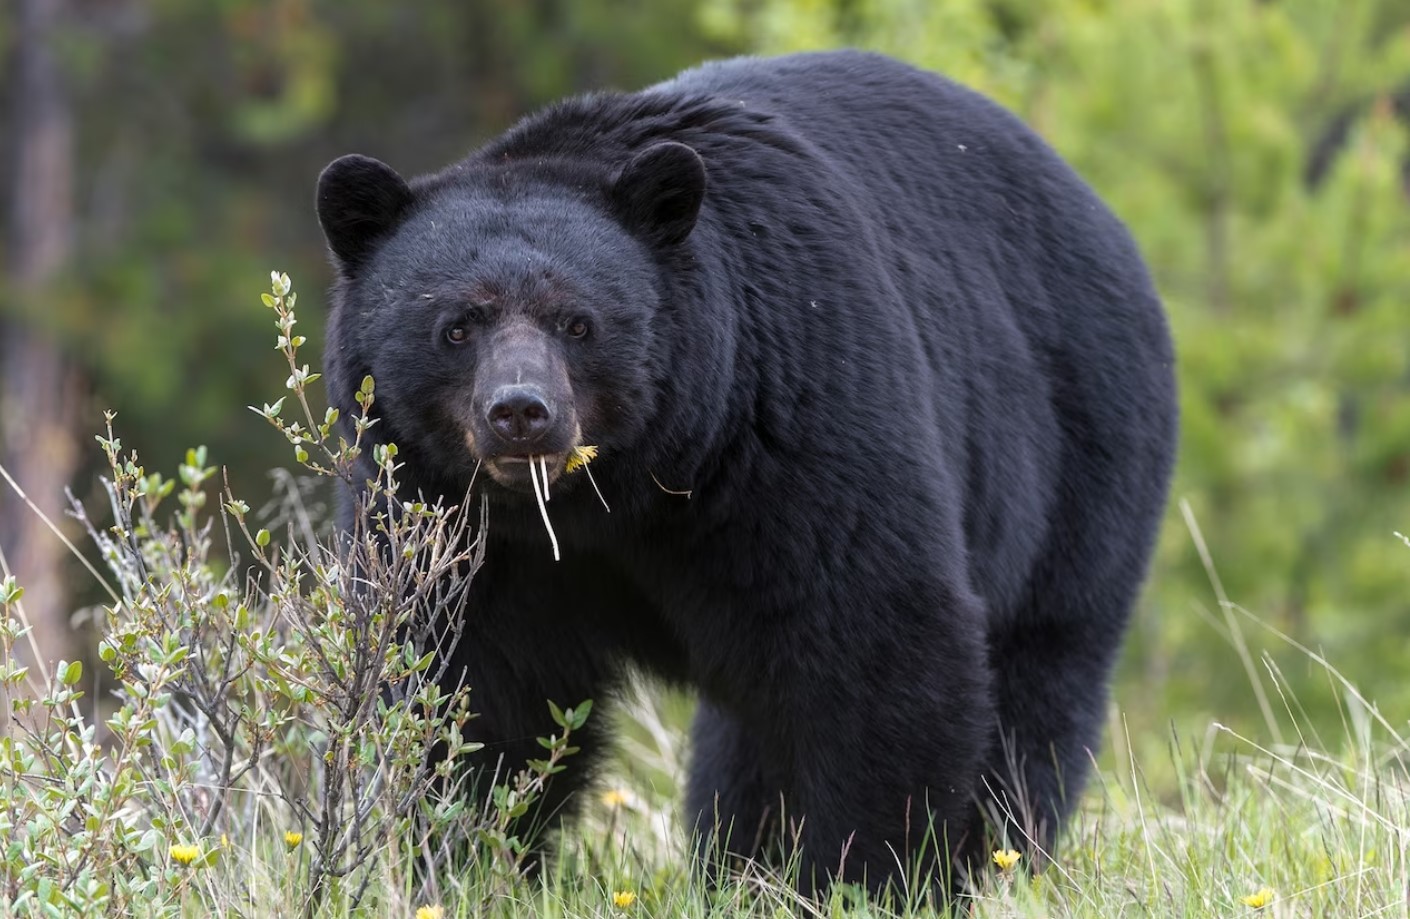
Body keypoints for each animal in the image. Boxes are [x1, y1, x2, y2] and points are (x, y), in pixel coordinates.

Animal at [317, 50, 1178, 896]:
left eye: (578, 322)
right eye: (458, 324)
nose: (522, 412)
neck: (617, 491)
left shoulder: (793, 418)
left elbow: (874, 637)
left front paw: (861, 874)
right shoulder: (448, 515)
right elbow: (467, 680)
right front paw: (458, 860)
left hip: (1078, 449)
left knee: (1039, 678)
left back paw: (991, 859)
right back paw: (738, 863)